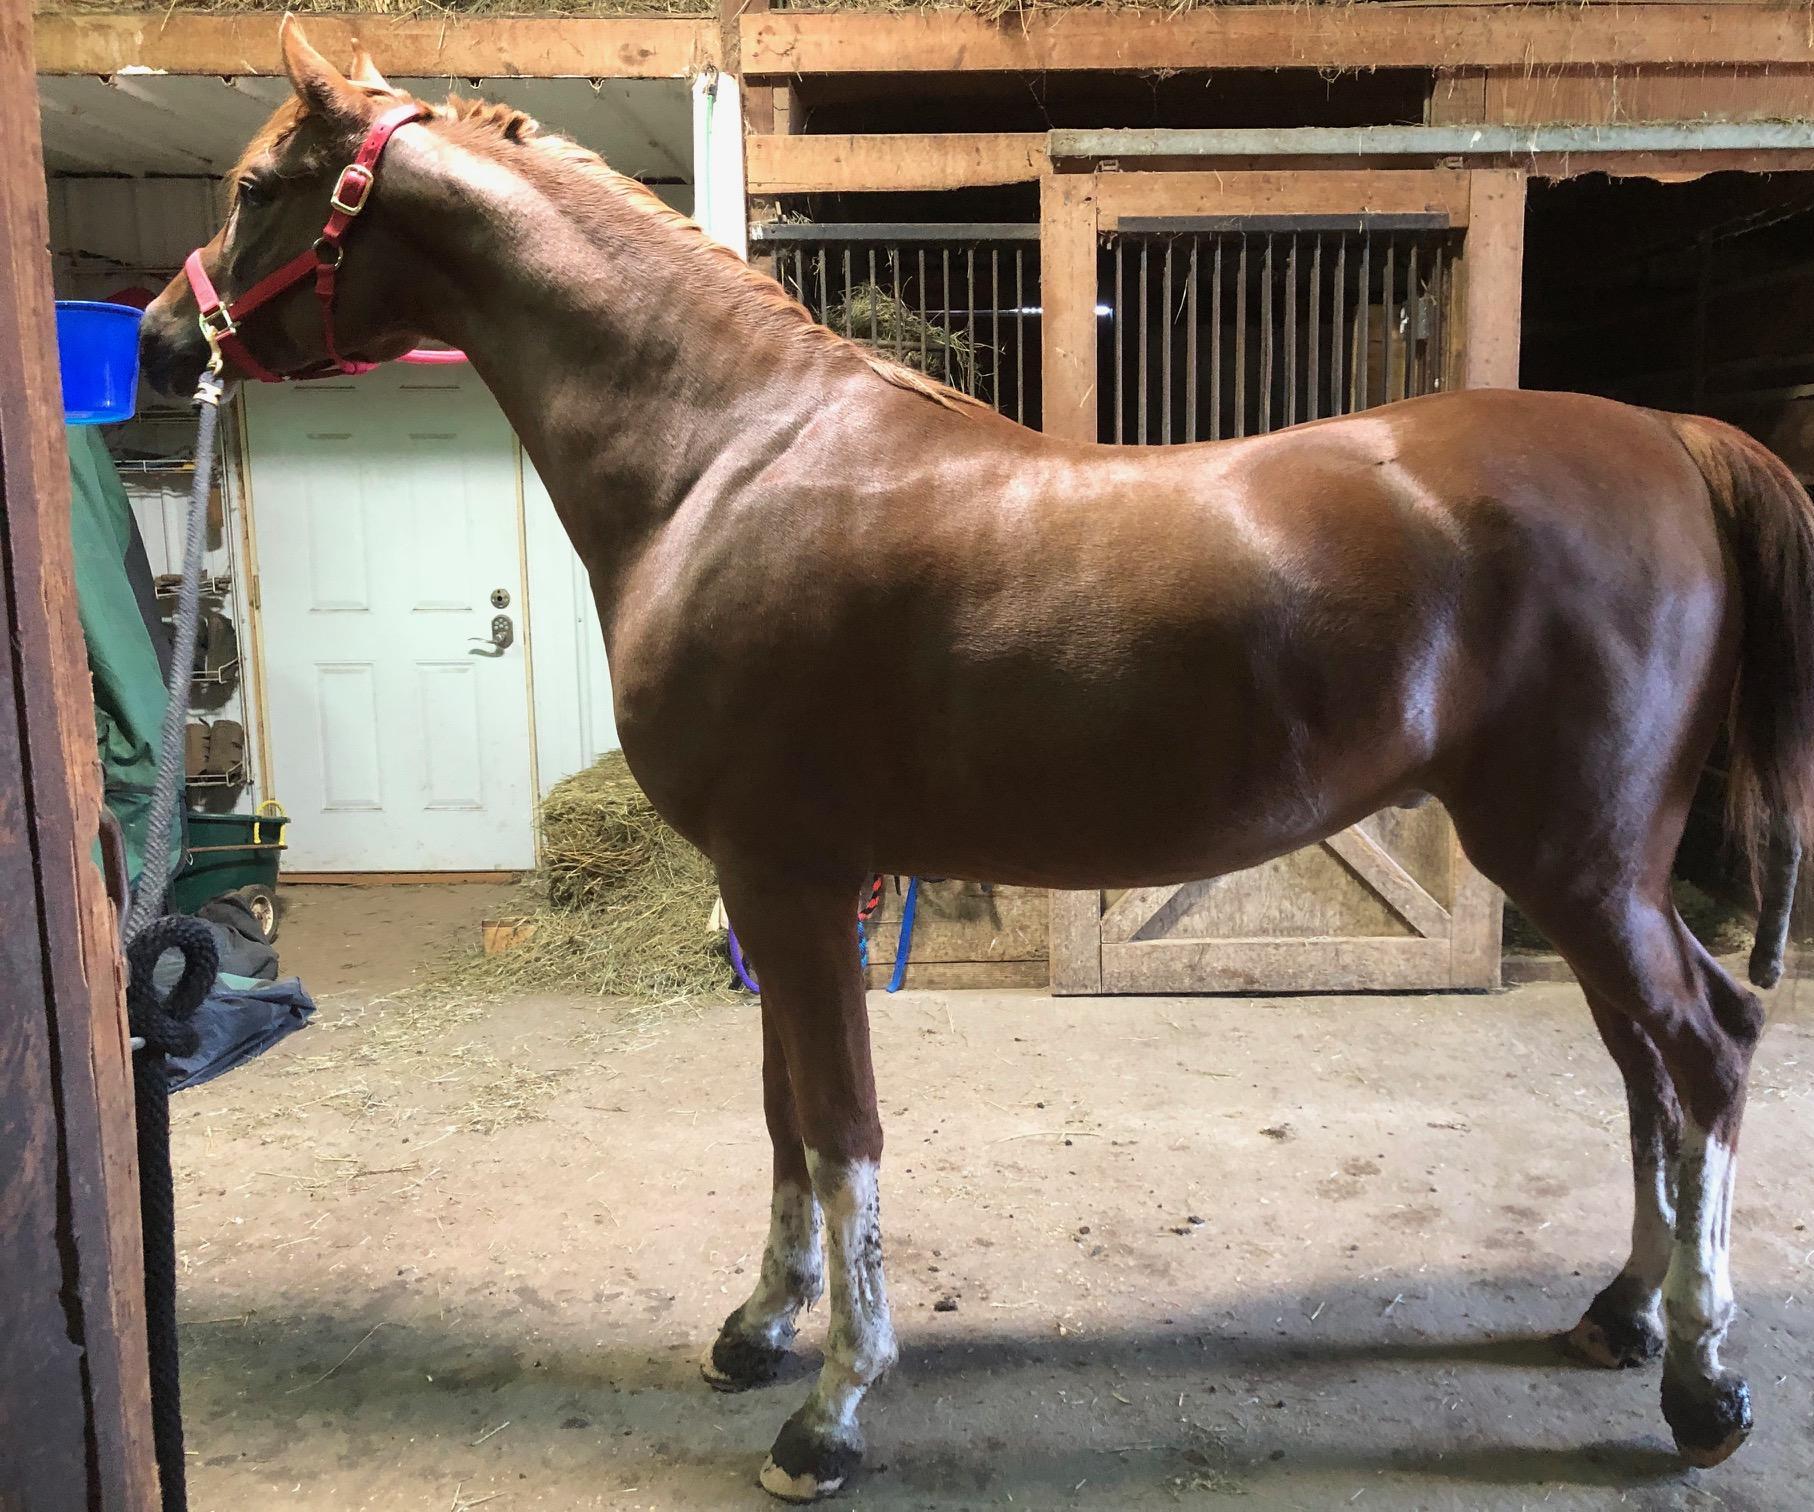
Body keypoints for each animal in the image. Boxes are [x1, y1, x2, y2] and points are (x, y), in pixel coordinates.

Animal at [140, 20, 1813, 1500]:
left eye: (255, 185)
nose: (161, 337)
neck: (724, 461)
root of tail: (1670, 440)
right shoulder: (781, 890)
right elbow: (783, 1115)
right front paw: (758, 1329)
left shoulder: (792, 880)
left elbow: (837, 1128)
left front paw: (828, 1411)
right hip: (1594, 873)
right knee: (1648, 1070)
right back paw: (1618, 1314)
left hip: (1576, 864)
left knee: (1702, 1055)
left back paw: (1701, 1384)